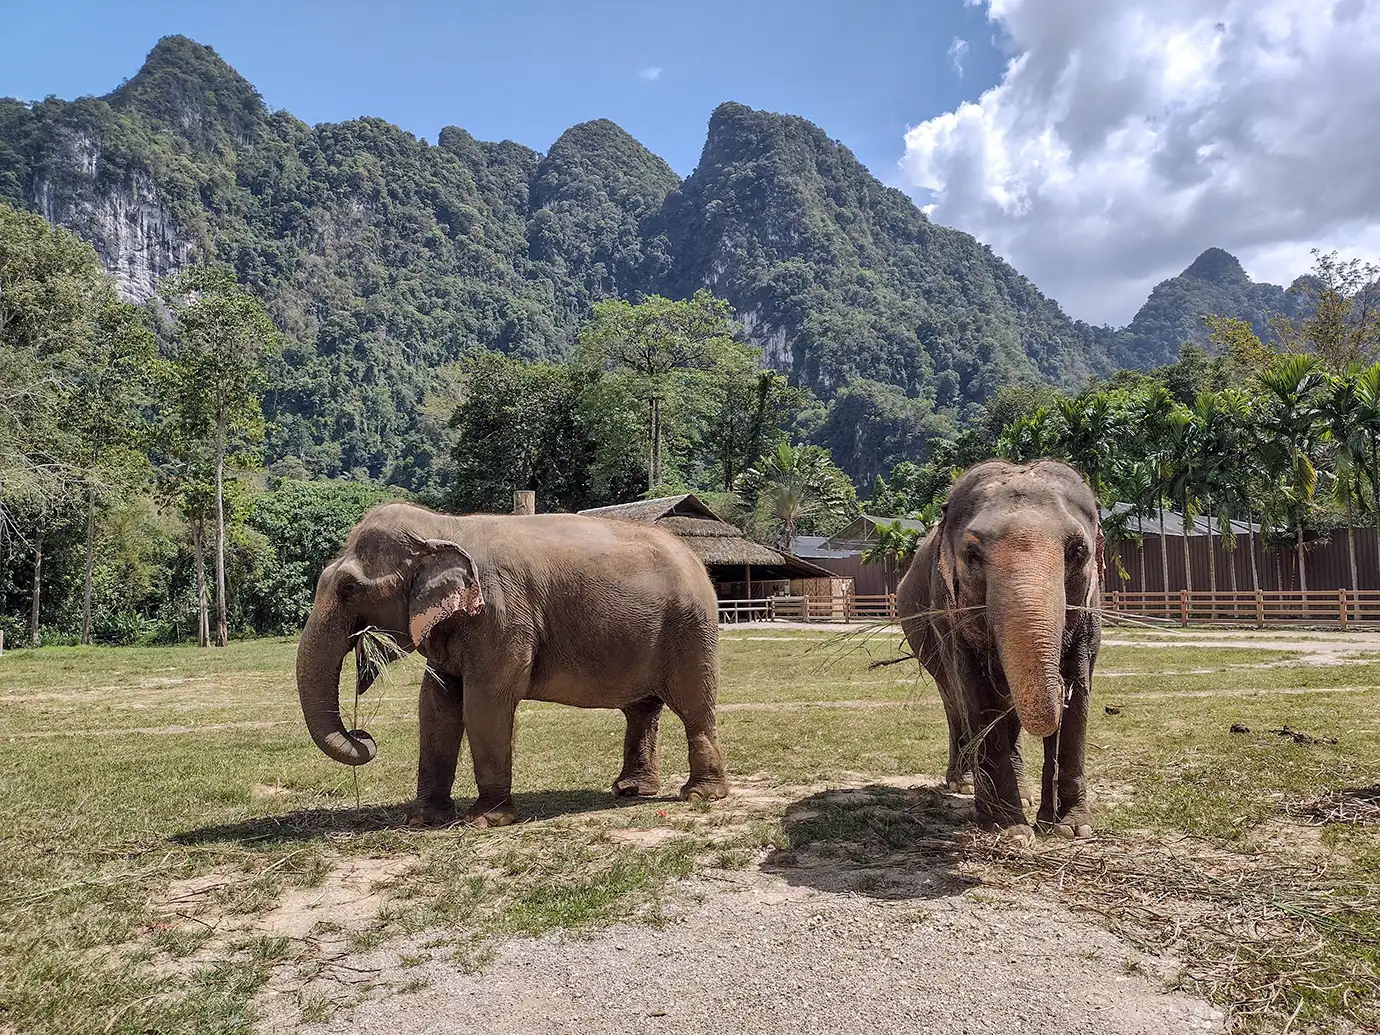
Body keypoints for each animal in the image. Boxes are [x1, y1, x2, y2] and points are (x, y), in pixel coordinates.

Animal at [295, 501, 729, 827]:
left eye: (349, 588)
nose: (363, 735)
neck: (445, 525)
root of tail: (696, 559)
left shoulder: (501, 617)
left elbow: (484, 702)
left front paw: (485, 821)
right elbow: (436, 705)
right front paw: (421, 819)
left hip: (692, 630)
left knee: (693, 706)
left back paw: (700, 796)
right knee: (641, 710)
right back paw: (631, 790)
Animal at [896, 459, 1102, 845]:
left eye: (1077, 552)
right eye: (973, 554)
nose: (1048, 819)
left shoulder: (1091, 608)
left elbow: (1080, 687)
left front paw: (1070, 827)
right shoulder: (947, 612)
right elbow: (975, 693)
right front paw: (1009, 830)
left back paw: (1022, 795)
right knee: (954, 702)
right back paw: (964, 783)